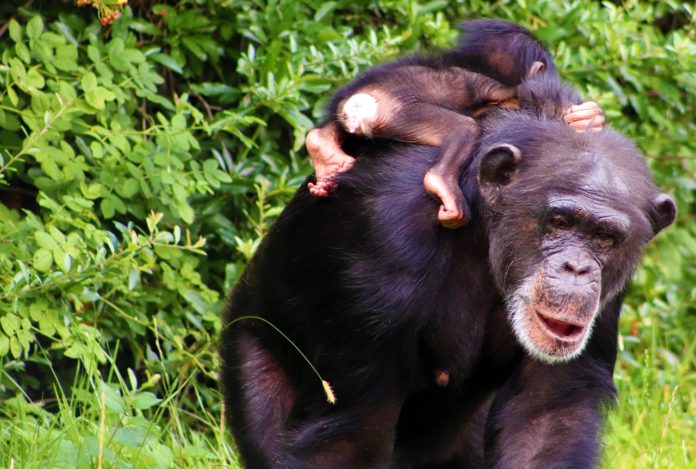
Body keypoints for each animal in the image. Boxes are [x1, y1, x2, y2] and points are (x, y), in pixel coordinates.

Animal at [306, 19, 604, 228]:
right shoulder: (507, 89)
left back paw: (324, 152)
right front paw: (583, 117)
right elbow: (540, 99)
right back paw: (442, 184)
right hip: (396, 113)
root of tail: (357, 107)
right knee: (464, 129)